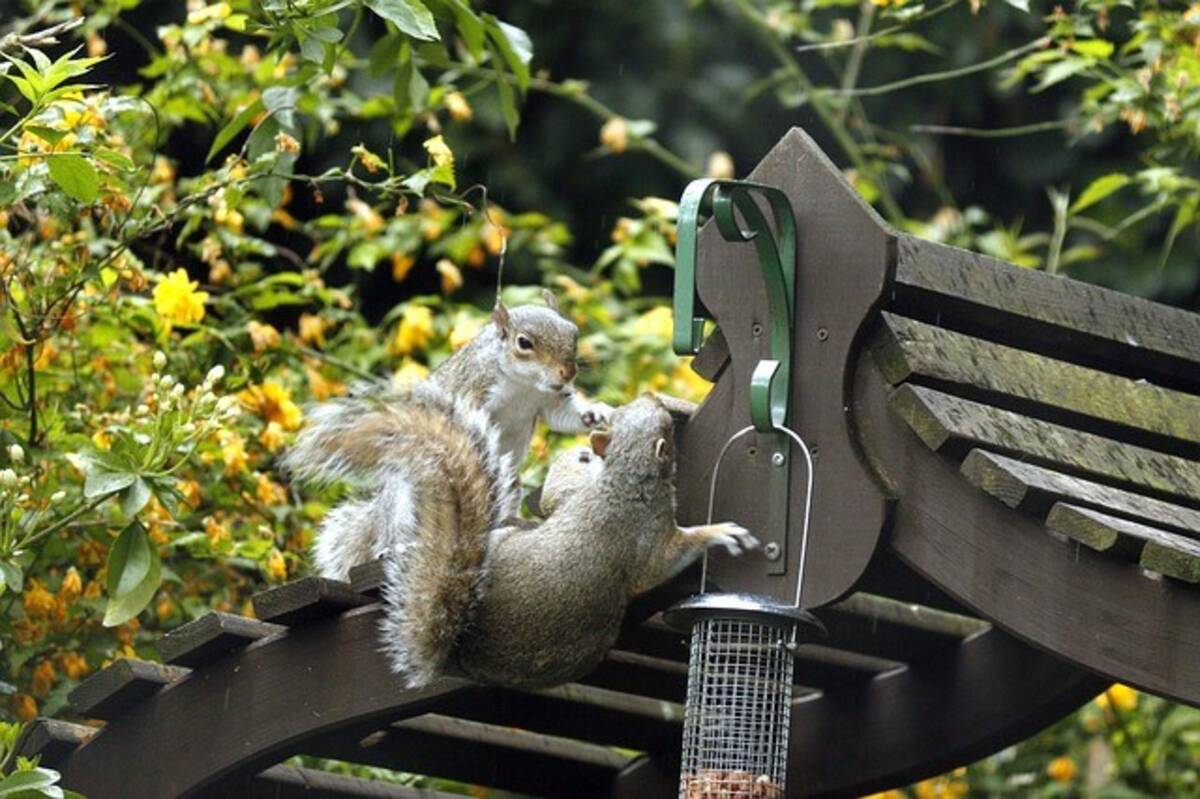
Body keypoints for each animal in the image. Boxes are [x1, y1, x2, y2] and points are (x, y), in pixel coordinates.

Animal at [285, 386, 753, 686]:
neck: (623, 478)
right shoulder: (648, 533)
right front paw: (718, 534)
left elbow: (558, 496)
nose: (655, 397)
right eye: (663, 429)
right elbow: (664, 560)